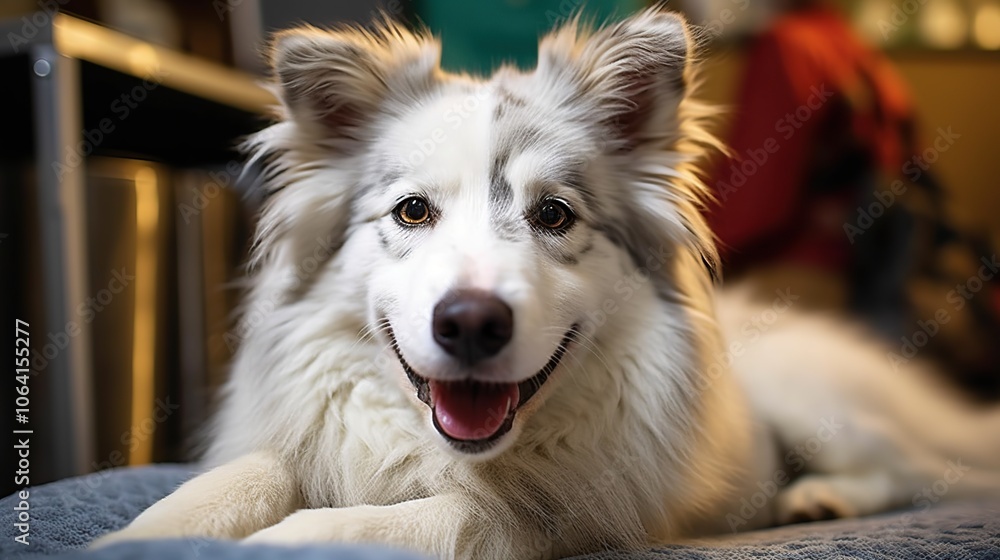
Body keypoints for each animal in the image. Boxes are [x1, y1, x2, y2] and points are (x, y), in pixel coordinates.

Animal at [95, 9, 1000, 560]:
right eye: (413, 211)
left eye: (555, 215)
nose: (470, 322)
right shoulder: (307, 435)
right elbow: (248, 475)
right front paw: (141, 536)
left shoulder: (553, 520)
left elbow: (440, 517)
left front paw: (289, 537)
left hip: (813, 403)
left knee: (913, 471)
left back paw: (819, 499)